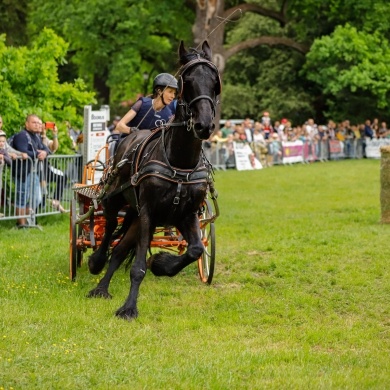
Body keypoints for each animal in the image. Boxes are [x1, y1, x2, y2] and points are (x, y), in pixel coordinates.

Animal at [87, 40, 221, 320]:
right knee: (108, 233)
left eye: (215, 81)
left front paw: (160, 264)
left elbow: (195, 249)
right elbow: (137, 267)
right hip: (117, 199)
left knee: (119, 251)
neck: (179, 162)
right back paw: (97, 267)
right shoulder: (149, 212)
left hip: (136, 216)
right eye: (187, 81)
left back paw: (103, 287)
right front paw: (129, 307)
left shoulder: (186, 214)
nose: (204, 124)